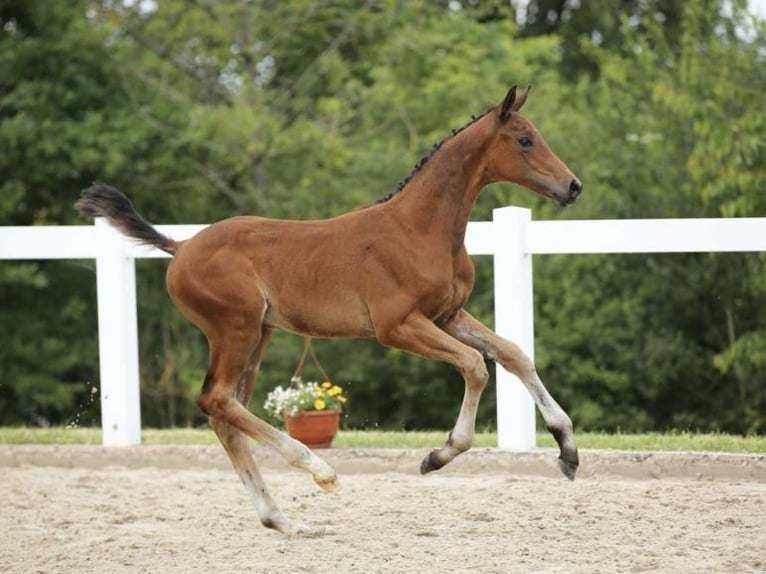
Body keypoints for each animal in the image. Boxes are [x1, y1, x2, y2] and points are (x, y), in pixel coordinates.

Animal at [76, 84, 584, 536]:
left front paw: (567, 450)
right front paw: (437, 456)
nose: (573, 186)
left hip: (257, 335)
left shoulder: (447, 315)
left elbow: (514, 355)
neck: (420, 230)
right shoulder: (398, 326)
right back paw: (318, 469)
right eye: (524, 139)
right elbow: (476, 365)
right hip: (235, 329)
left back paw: (280, 519)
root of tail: (179, 248)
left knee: (226, 412)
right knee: (216, 400)